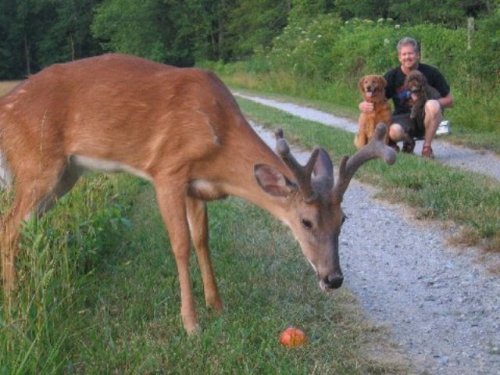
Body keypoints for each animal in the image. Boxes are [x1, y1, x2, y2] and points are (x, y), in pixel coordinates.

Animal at [1, 53, 396, 334]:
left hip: (66, 175)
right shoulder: (167, 171)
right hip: (37, 165)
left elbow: (202, 240)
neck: (219, 137)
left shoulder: (197, 186)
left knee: (25, 229)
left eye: (343, 219)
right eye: (306, 221)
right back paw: (15, 302)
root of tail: (6, 107)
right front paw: (191, 324)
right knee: (10, 227)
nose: (334, 279)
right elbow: (180, 245)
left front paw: (217, 306)